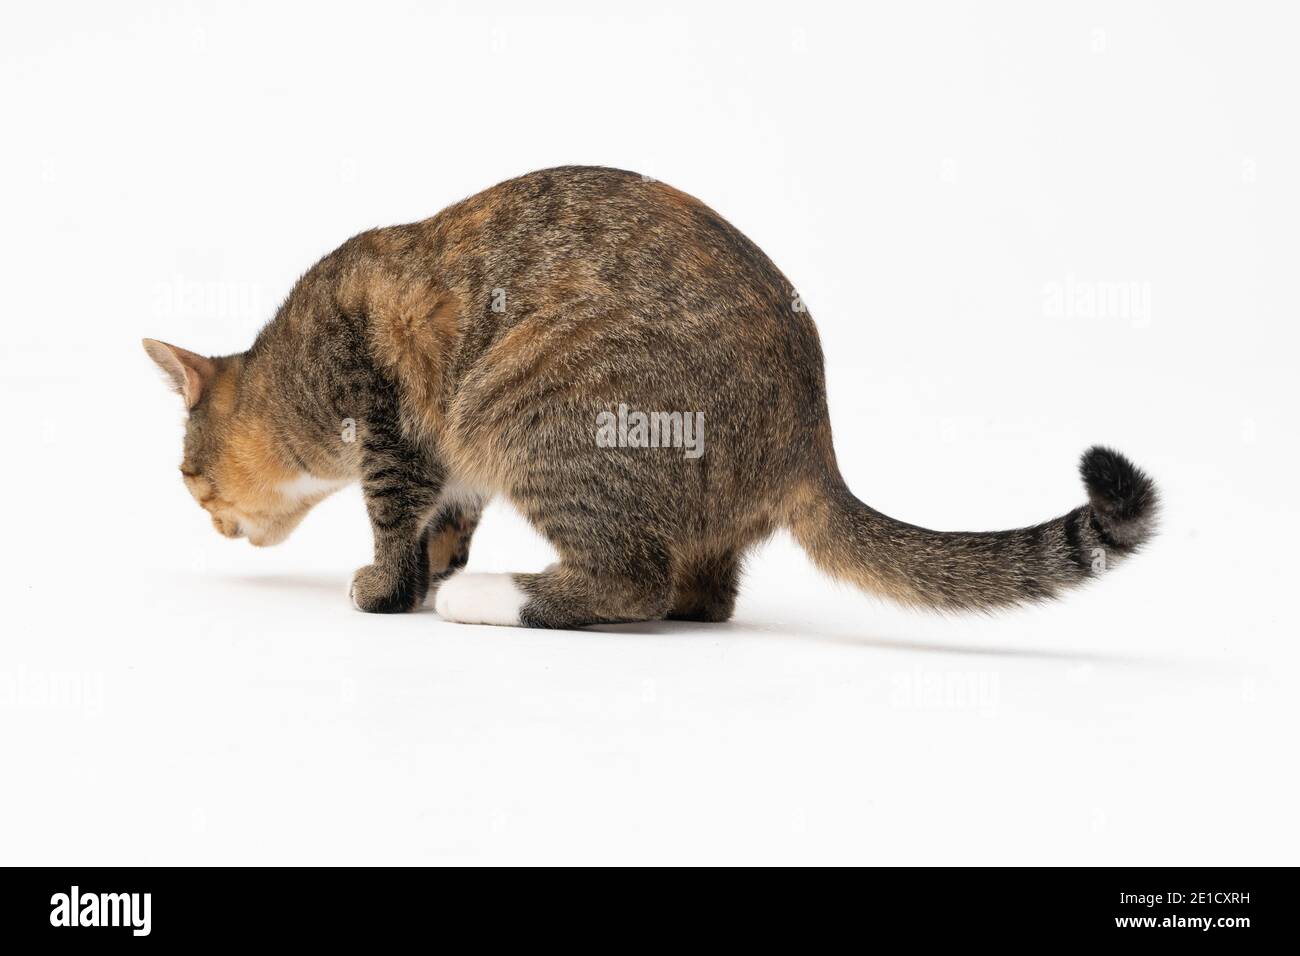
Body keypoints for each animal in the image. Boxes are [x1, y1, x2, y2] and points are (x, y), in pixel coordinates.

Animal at [142, 164, 1159, 629]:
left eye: (188, 477)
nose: (208, 520)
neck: (290, 368)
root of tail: (811, 439)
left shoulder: (393, 420)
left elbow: (396, 520)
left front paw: (393, 587)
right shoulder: (451, 461)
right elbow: (444, 521)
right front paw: (431, 567)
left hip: (529, 408)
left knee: (634, 583)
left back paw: (494, 597)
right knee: (699, 597)